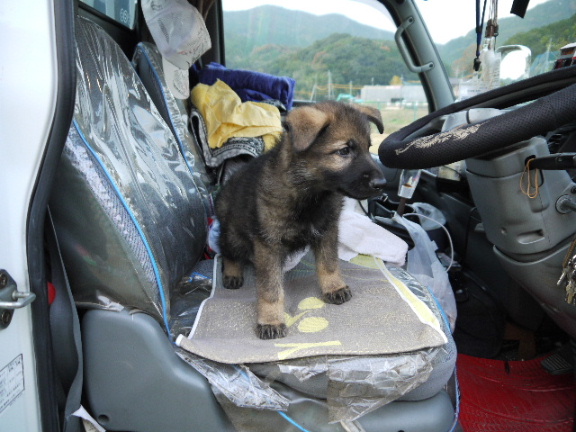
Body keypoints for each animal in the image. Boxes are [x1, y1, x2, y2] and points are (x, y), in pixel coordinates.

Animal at [216, 102, 388, 340]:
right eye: (344, 151)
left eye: (368, 147)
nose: (382, 183)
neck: (310, 195)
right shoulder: (268, 244)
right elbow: (270, 289)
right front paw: (271, 320)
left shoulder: (327, 231)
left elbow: (329, 264)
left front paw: (334, 287)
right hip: (234, 234)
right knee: (227, 251)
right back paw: (232, 273)